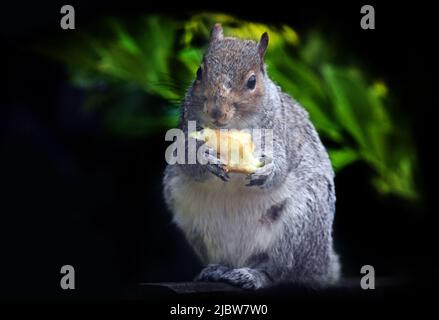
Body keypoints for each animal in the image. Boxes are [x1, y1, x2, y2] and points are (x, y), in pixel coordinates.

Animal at [163, 24, 342, 290]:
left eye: (252, 81)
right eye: (199, 72)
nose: (216, 112)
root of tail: (320, 265)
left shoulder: (279, 133)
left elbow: (281, 166)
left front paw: (268, 171)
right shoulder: (185, 130)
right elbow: (186, 159)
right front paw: (204, 157)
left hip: (299, 226)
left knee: (279, 271)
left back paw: (253, 275)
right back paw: (219, 269)